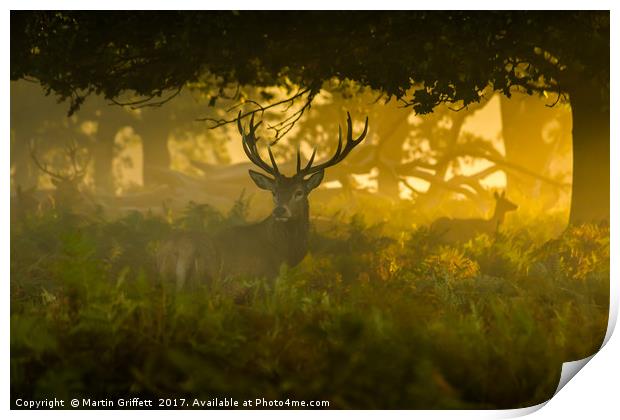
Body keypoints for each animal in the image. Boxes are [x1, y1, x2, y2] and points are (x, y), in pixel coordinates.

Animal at [157, 111, 368, 288]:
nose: (280, 210)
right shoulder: (264, 281)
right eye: (274, 192)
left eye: (299, 192)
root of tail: (179, 251)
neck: (285, 255)